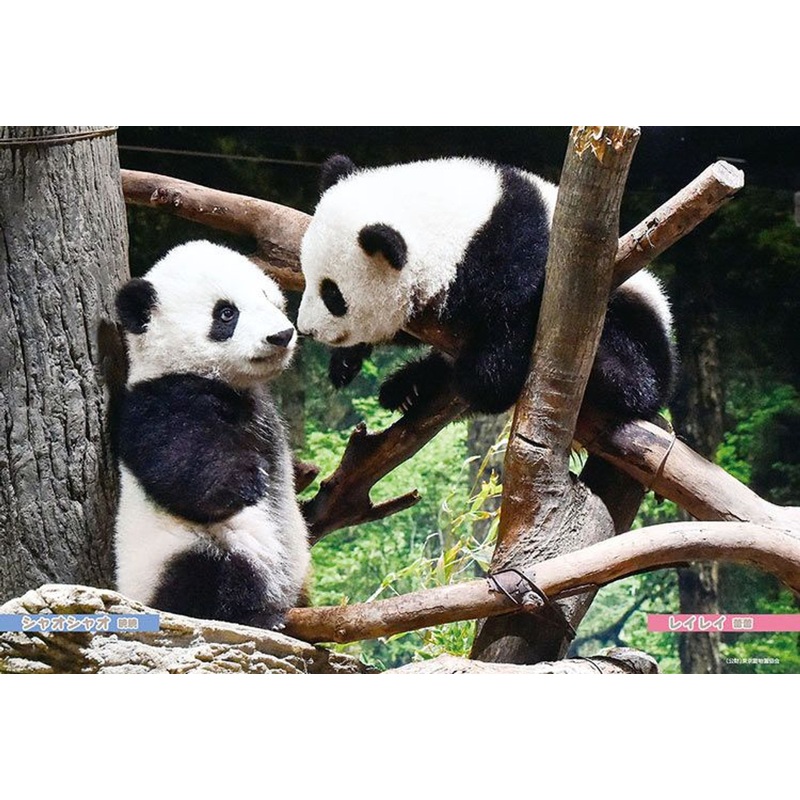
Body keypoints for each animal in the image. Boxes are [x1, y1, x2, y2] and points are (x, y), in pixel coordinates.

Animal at [111, 240, 310, 630]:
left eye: (268, 297)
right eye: (226, 313)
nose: (281, 335)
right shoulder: (156, 400)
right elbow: (179, 458)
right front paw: (248, 480)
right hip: (179, 551)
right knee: (209, 575)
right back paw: (259, 615)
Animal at [297, 155, 675, 420]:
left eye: (333, 295)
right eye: (307, 276)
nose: (306, 329)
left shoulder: (517, 253)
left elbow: (513, 323)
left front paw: (482, 381)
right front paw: (345, 360)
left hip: (629, 310)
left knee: (635, 376)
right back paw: (407, 387)